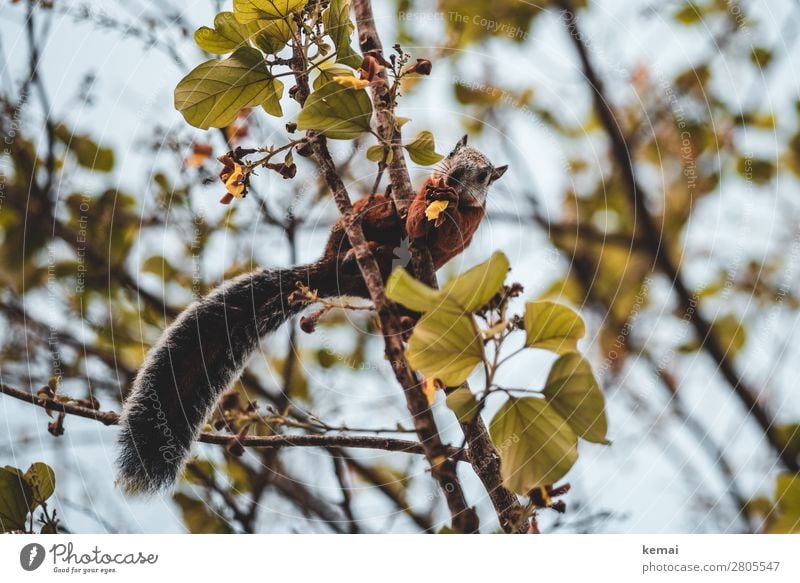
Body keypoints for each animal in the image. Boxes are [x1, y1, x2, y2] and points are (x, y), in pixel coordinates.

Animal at [116, 136, 510, 492]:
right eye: (453, 153)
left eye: (483, 175)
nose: (453, 178)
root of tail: (328, 274)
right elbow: (414, 219)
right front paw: (424, 199)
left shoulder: (469, 225)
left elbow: (450, 235)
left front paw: (450, 204)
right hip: (345, 230)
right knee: (364, 221)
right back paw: (370, 228)